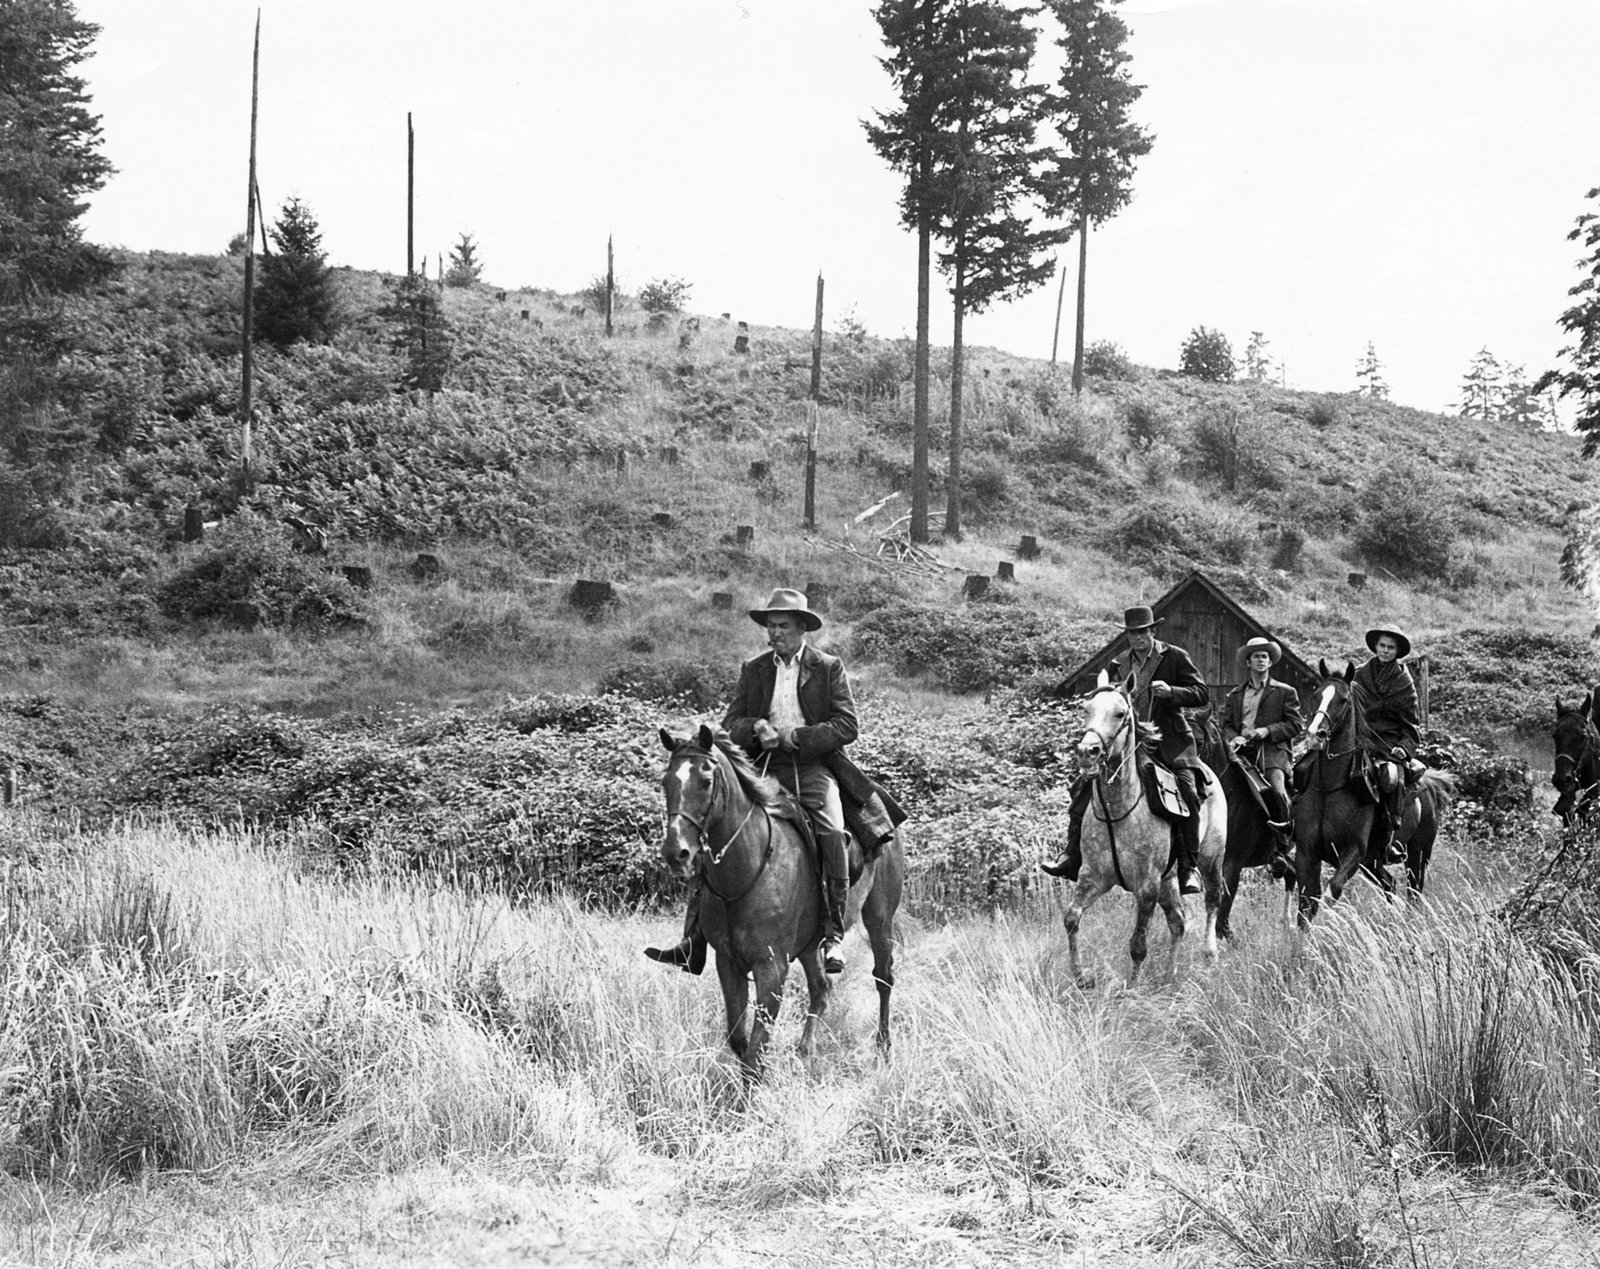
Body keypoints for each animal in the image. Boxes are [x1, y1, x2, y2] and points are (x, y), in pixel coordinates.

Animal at [649, 723, 902, 1081]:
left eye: (706, 781)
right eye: (666, 782)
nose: (676, 852)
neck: (748, 867)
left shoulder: (771, 967)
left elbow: (756, 1048)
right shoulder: (728, 962)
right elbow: (739, 1039)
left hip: (879, 919)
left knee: (883, 977)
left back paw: (883, 1048)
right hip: (811, 943)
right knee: (821, 987)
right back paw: (806, 1051)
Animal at [1299, 662, 1452, 921]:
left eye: (1343, 700)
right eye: (1316, 695)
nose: (1315, 734)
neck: (1329, 788)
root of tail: (1429, 784)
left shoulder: (1353, 852)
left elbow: (1332, 890)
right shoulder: (1307, 853)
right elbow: (1306, 904)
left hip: (1417, 853)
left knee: (1414, 892)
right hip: (1372, 862)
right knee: (1390, 884)